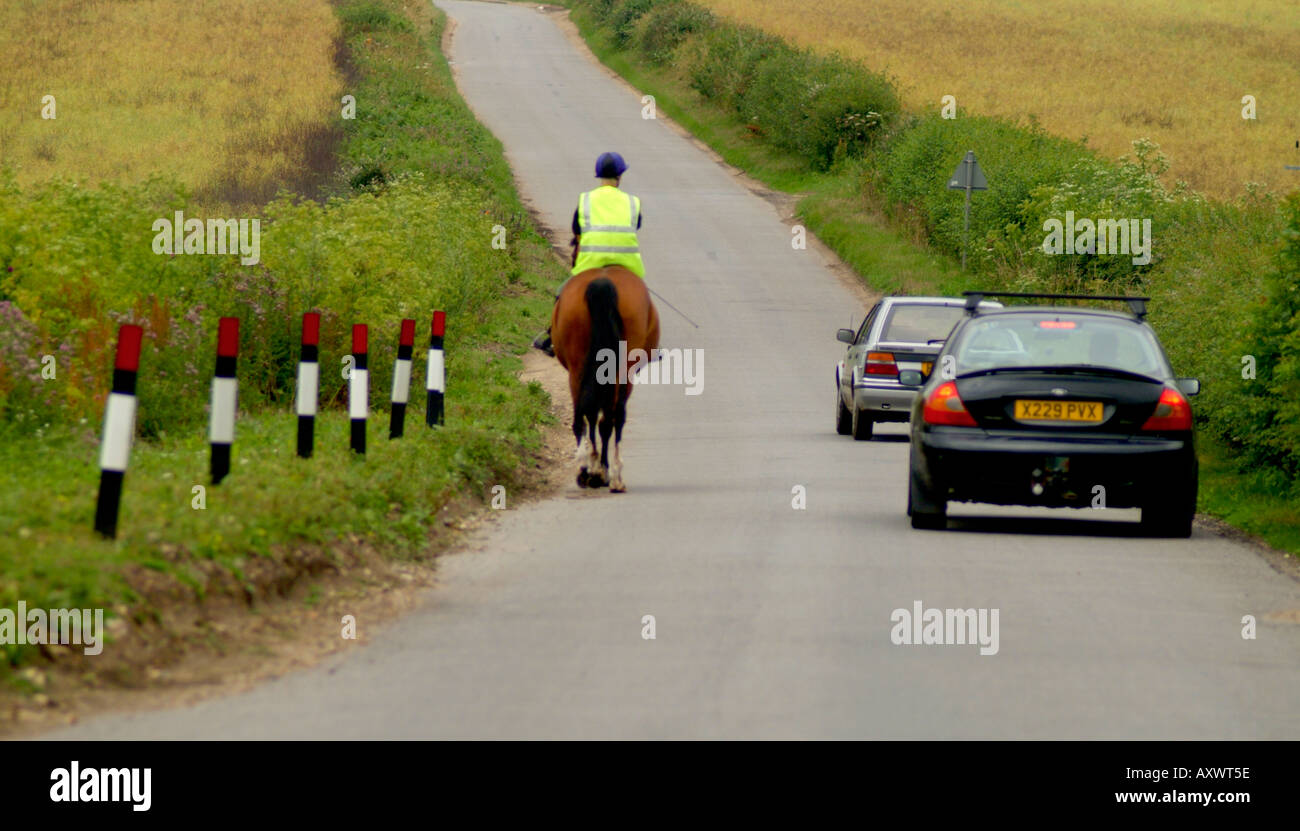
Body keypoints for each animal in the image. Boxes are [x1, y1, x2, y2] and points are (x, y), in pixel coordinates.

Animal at [553, 266, 665, 491]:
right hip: (622, 371)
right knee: (612, 418)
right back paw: (611, 475)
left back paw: (587, 470)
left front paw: (593, 466)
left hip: (578, 369)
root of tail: (602, 284)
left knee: (584, 418)